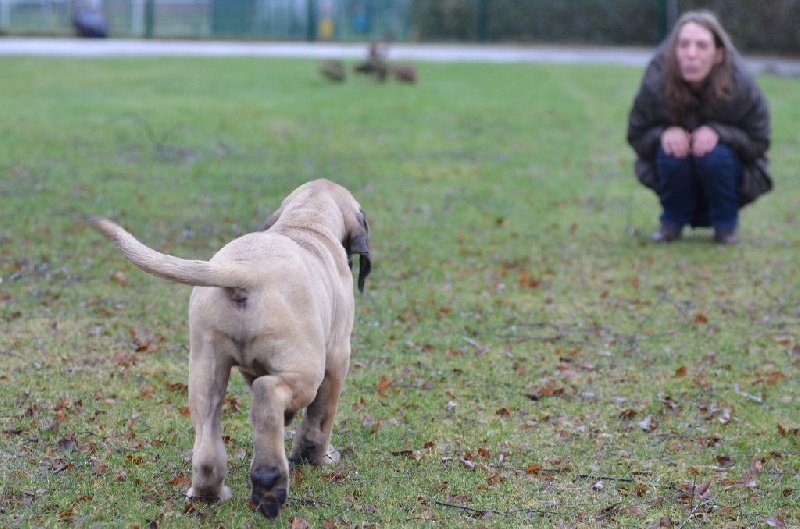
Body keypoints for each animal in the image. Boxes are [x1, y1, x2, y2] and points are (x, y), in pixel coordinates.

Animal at [89, 179, 371, 518]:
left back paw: (210, 492)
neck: (306, 222)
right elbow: (320, 417)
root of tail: (246, 271)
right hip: (308, 369)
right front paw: (317, 457)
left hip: (206, 368)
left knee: (208, 443)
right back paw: (269, 482)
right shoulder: (337, 358)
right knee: (267, 395)